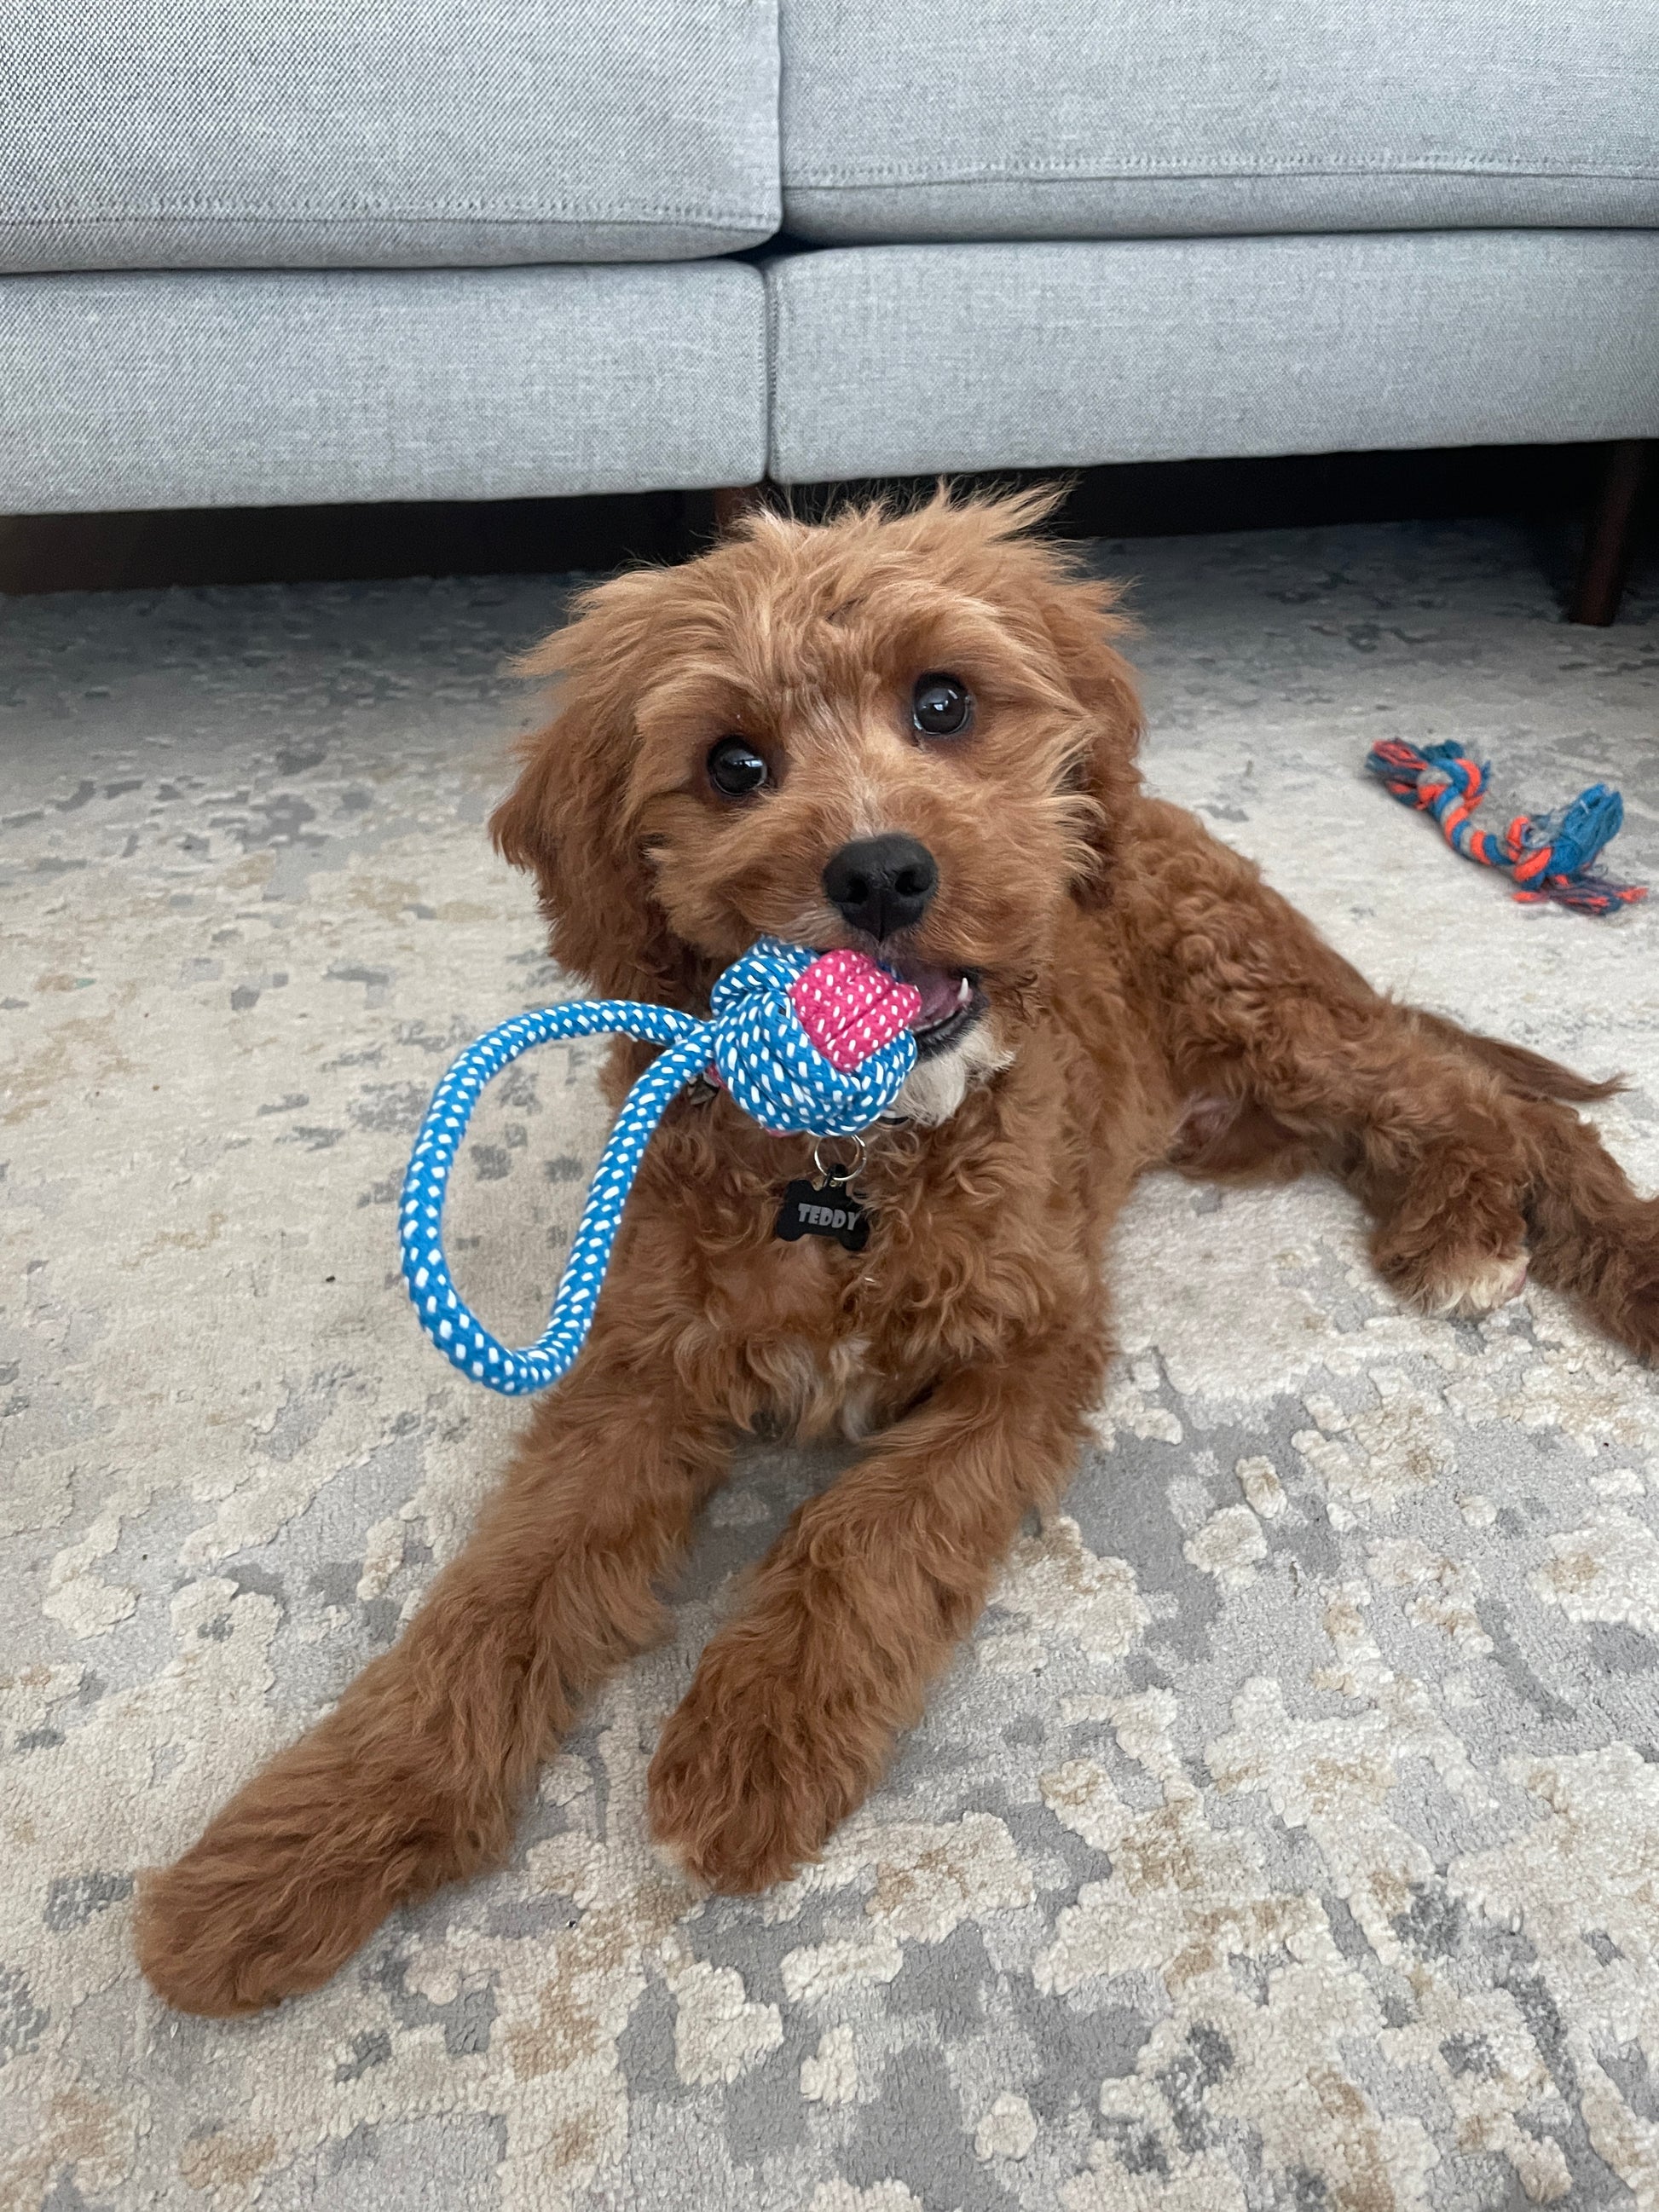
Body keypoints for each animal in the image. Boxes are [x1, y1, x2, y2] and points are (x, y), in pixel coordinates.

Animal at [136, 488, 1654, 2026]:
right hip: (1250, 1098)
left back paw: (1506, 1233)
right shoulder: (637, 1370)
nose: (878, 870)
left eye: (941, 703)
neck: (855, 1160)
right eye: (732, 764)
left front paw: (755, 1740)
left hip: (1263, 1010)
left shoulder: (1031, 1347)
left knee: (1481, 1096)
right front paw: (303, 1843)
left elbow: (866, 1530)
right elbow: (493, 1600)